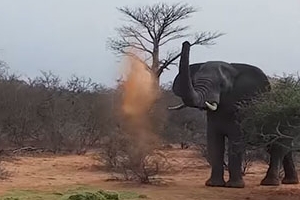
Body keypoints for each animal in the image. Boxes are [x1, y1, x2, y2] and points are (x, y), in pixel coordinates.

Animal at [170, 40, 298, 188]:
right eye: (194, 81)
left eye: (221, 85)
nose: (186, 43)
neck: (233, 69)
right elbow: (214, 142)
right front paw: (214, 185)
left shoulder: (242, 107)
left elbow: (236, 140)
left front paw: (234, 186)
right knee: (282, 149)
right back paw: (289, 181)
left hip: (287, 121)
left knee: (279, 147)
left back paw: (270, 183)